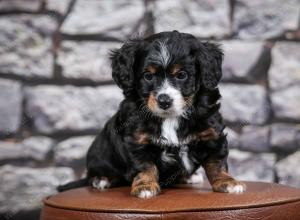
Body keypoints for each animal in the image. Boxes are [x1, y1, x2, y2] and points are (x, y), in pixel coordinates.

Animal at [58, 30, 246, 198]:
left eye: (182, 75)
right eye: (148, 76)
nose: (164, 101)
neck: (170, 117)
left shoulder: (212, 134)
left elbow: (217, 163)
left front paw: (228, 182)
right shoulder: (137, 141)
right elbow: (145, 167)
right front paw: (145, 186)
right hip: (100, 154)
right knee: (94, 174)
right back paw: (102, 179)